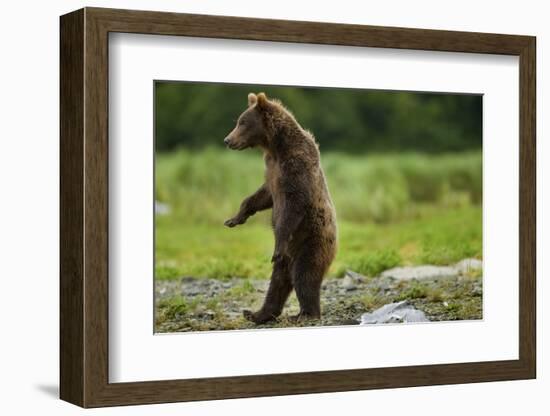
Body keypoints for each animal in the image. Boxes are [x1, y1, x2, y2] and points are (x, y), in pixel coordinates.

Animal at [223, 92, 336, 324]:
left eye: (242, 122)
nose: (227, 140)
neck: (275, 146)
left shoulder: (296, 167)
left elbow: (294, 205)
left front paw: (277, 240)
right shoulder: (272, 170)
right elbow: (262, 195)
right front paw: (234, 219)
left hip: (311, 242)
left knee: (304, 276)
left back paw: (304, 314)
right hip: (288, 258)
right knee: (278, 281)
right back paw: (257, 313)